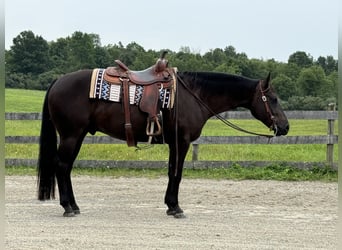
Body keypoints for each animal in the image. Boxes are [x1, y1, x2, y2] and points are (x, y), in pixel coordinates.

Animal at [37, 65, 288, 218]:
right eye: (273, 99)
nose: (285, 127)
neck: (194, 96)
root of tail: (58, 81)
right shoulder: (181, 142)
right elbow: (176, 173)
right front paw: (175, 207)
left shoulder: (175, 144)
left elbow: (171, 172)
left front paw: (170, 205)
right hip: (70, 135)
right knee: (62, 166)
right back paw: (68, 207)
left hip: (77, 136)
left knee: (66, 168)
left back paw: (74, 205)